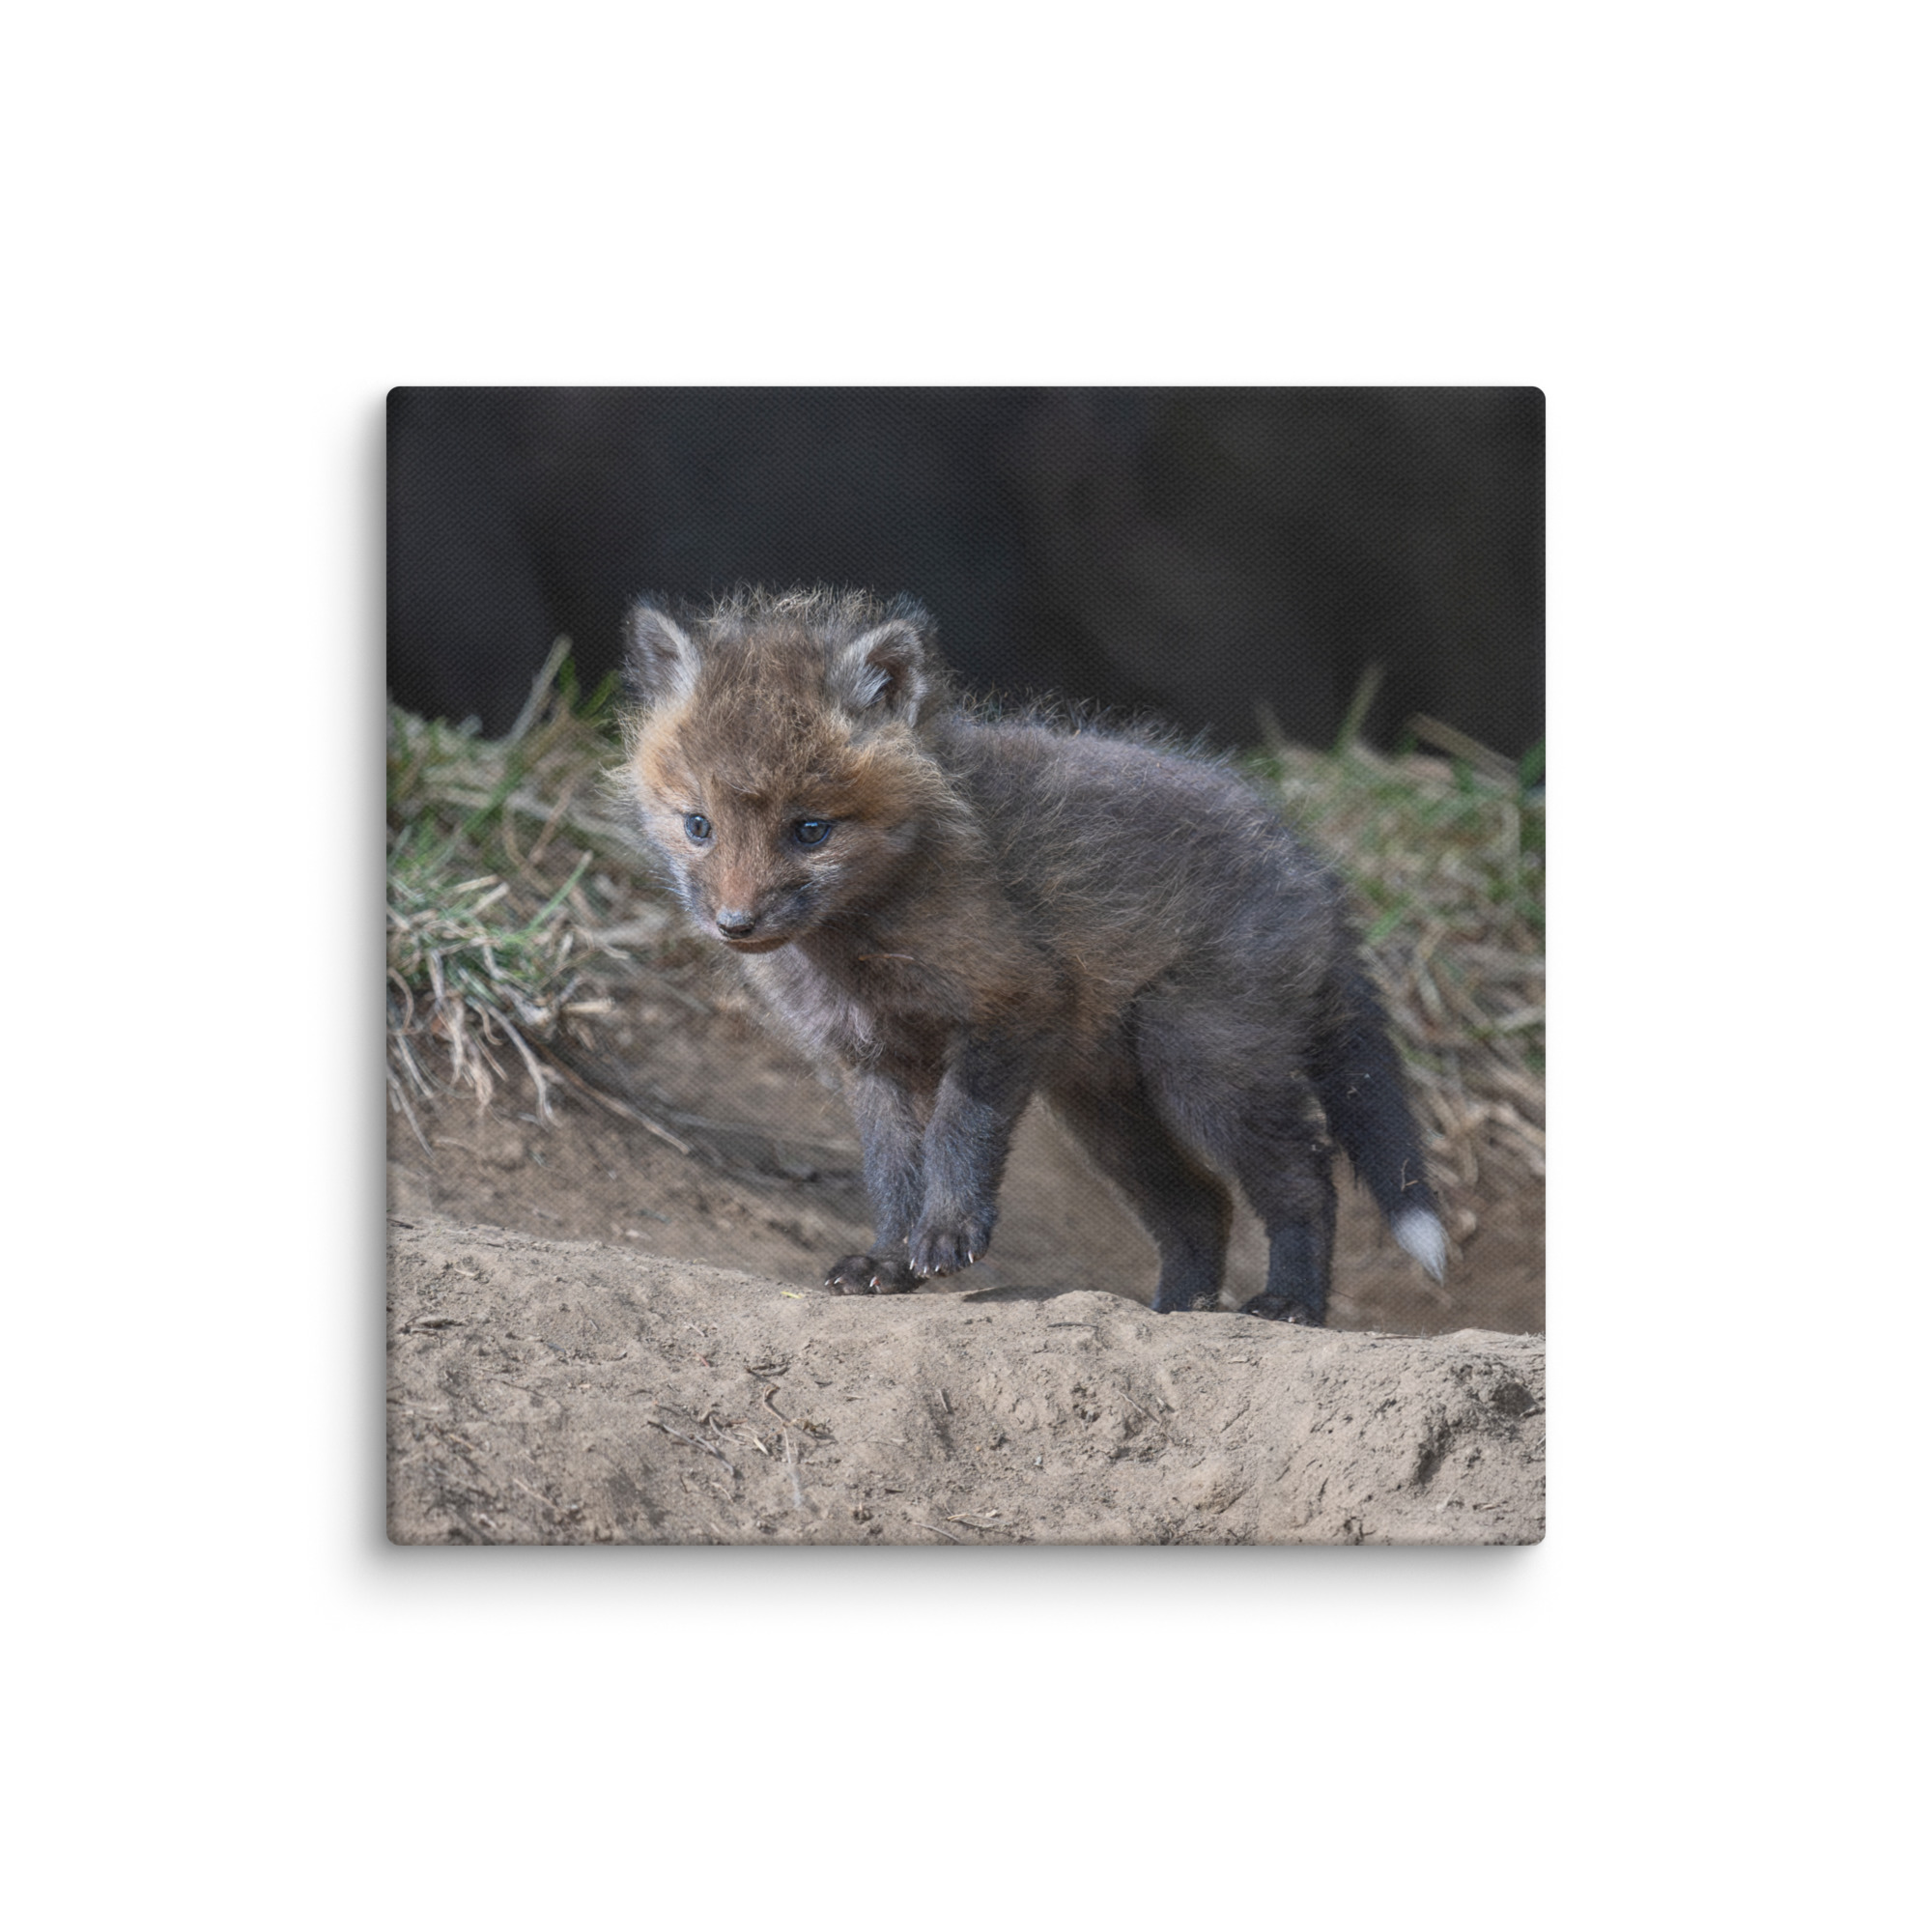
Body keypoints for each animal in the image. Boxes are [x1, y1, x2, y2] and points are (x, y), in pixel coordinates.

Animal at [620, 586, 1447, 1325]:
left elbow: (958, 1133)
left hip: (1205, 1068)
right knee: (1202, 1205)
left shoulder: (1010, 1003)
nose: (735, 924)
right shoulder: (870, 1058)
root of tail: (1313, 869)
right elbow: (892, 1173)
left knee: (1306, 1177)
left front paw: (948, 1234)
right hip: (1107, 1109)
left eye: (810, 830)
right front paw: (888, 1261)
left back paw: (1290, 1303)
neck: (858, 948)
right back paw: (1177, 1311)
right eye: (698, 825)